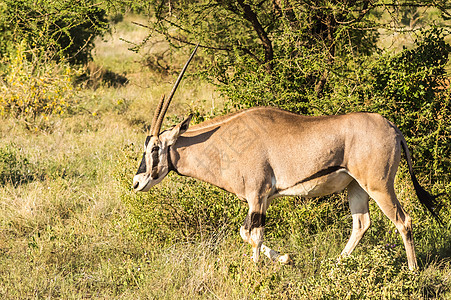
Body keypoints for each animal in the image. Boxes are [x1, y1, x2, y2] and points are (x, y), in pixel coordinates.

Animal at [132, 45, 442, 272]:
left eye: (155, 148)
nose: (136, 183)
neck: (224, 140)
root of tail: (393, 128)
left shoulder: (257, 195)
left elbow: (252, 235)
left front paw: (259, 270)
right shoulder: (263, 199)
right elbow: (247, 234)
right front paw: (284, 258)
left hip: (379, 186)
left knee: (403, 221)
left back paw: (413, 271)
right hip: (356, 187)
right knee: (361, 223)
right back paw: (336, 265)